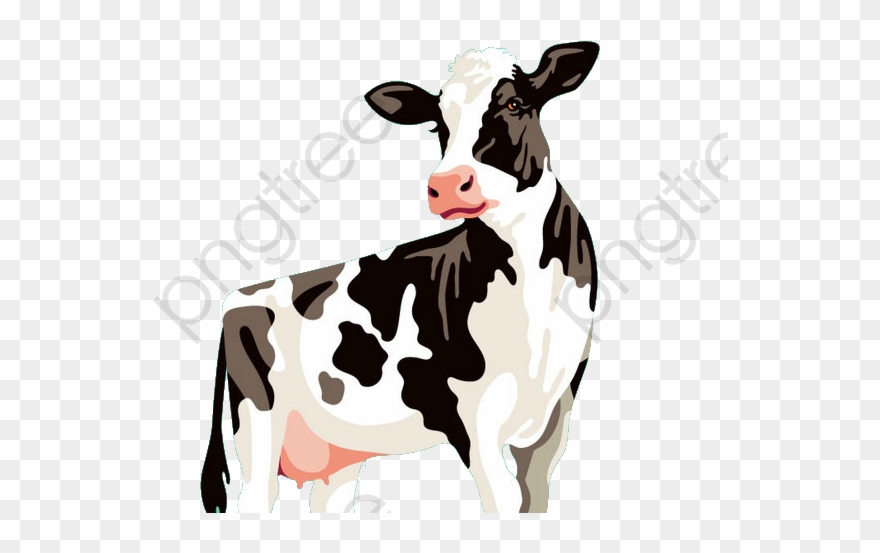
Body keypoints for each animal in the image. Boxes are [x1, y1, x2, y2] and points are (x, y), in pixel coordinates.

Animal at [201, 41, 600, 514]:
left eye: (516, 104)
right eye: (437, 124)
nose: (448, 185)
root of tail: (238, 297)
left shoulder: (554, 416)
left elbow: (532, 499)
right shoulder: (468, 419)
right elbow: (503, 501)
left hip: (338, 455)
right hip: (257, 425)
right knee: (256, 499)